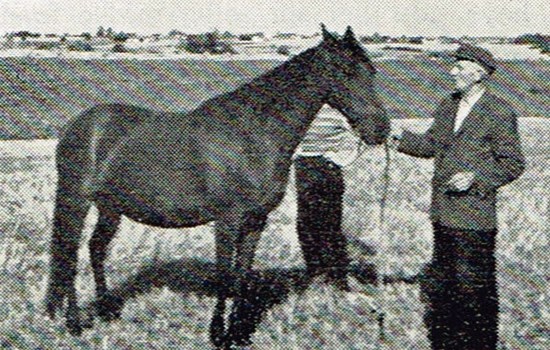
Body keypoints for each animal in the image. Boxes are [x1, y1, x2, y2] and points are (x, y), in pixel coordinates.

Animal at [48, 26, 392, 348]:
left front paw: (239, 333)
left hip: (111, 207)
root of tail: (80, 125)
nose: (380, 129)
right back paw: (74, 323)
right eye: (345, 71)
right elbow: (225, 277)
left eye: (371, 71)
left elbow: (241, 275)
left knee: (95, 248)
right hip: (75, 200)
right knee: (68, 254)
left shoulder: (256, 221)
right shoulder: (227, 220)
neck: (253, 135)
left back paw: (107, 311)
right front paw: (217, 334)